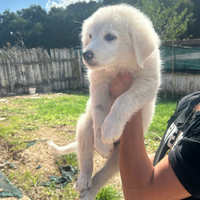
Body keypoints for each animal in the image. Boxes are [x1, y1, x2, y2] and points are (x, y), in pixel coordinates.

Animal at [49, 3, 162, 199]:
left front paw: (110, 129)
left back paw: (90, 191)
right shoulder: (98, 84)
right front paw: (102, 141)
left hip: (120, 156)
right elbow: (100, 110)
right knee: (86, 160)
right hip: (84, 127)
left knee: (103, 174)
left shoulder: (148, 82)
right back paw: (83, 181)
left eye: (110, 37)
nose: (85, 54)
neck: (118, 66)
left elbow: (123, 100)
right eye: (90, 36)